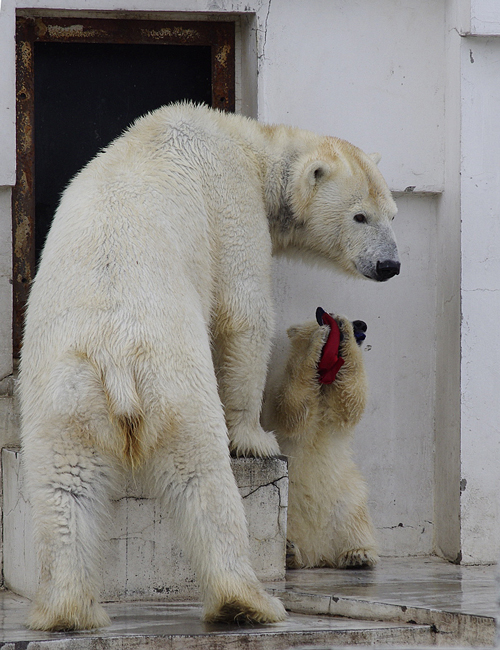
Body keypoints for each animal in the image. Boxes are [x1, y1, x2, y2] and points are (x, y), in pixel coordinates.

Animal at [21, 102, 400, 628]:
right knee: (202, 475)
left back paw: (67, 610)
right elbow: (244, 312)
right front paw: (256, 438)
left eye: (392, 214)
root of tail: (115, 361)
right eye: (360, 215)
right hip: (170, 378)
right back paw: (247, 600)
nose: (390, 265)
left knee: (64, 486)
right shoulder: (232, 202)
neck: (246, 144)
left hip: (64, 387)